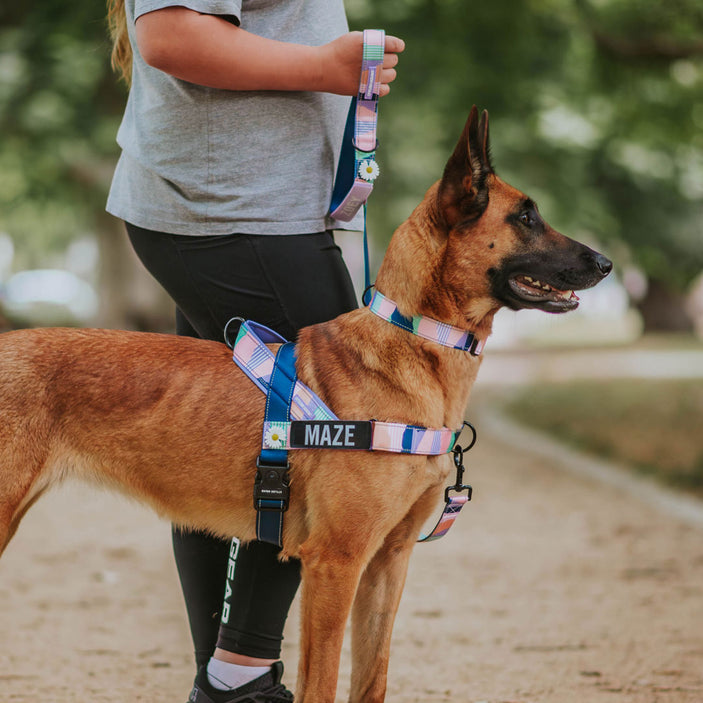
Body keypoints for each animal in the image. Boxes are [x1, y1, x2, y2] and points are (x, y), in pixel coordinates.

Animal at [0, 107, 612, 700]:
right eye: (525, 218)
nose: (605, 263)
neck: (411, 343)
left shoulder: (388, 563)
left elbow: (372, 680)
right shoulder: (335, 563)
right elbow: (322, 685)